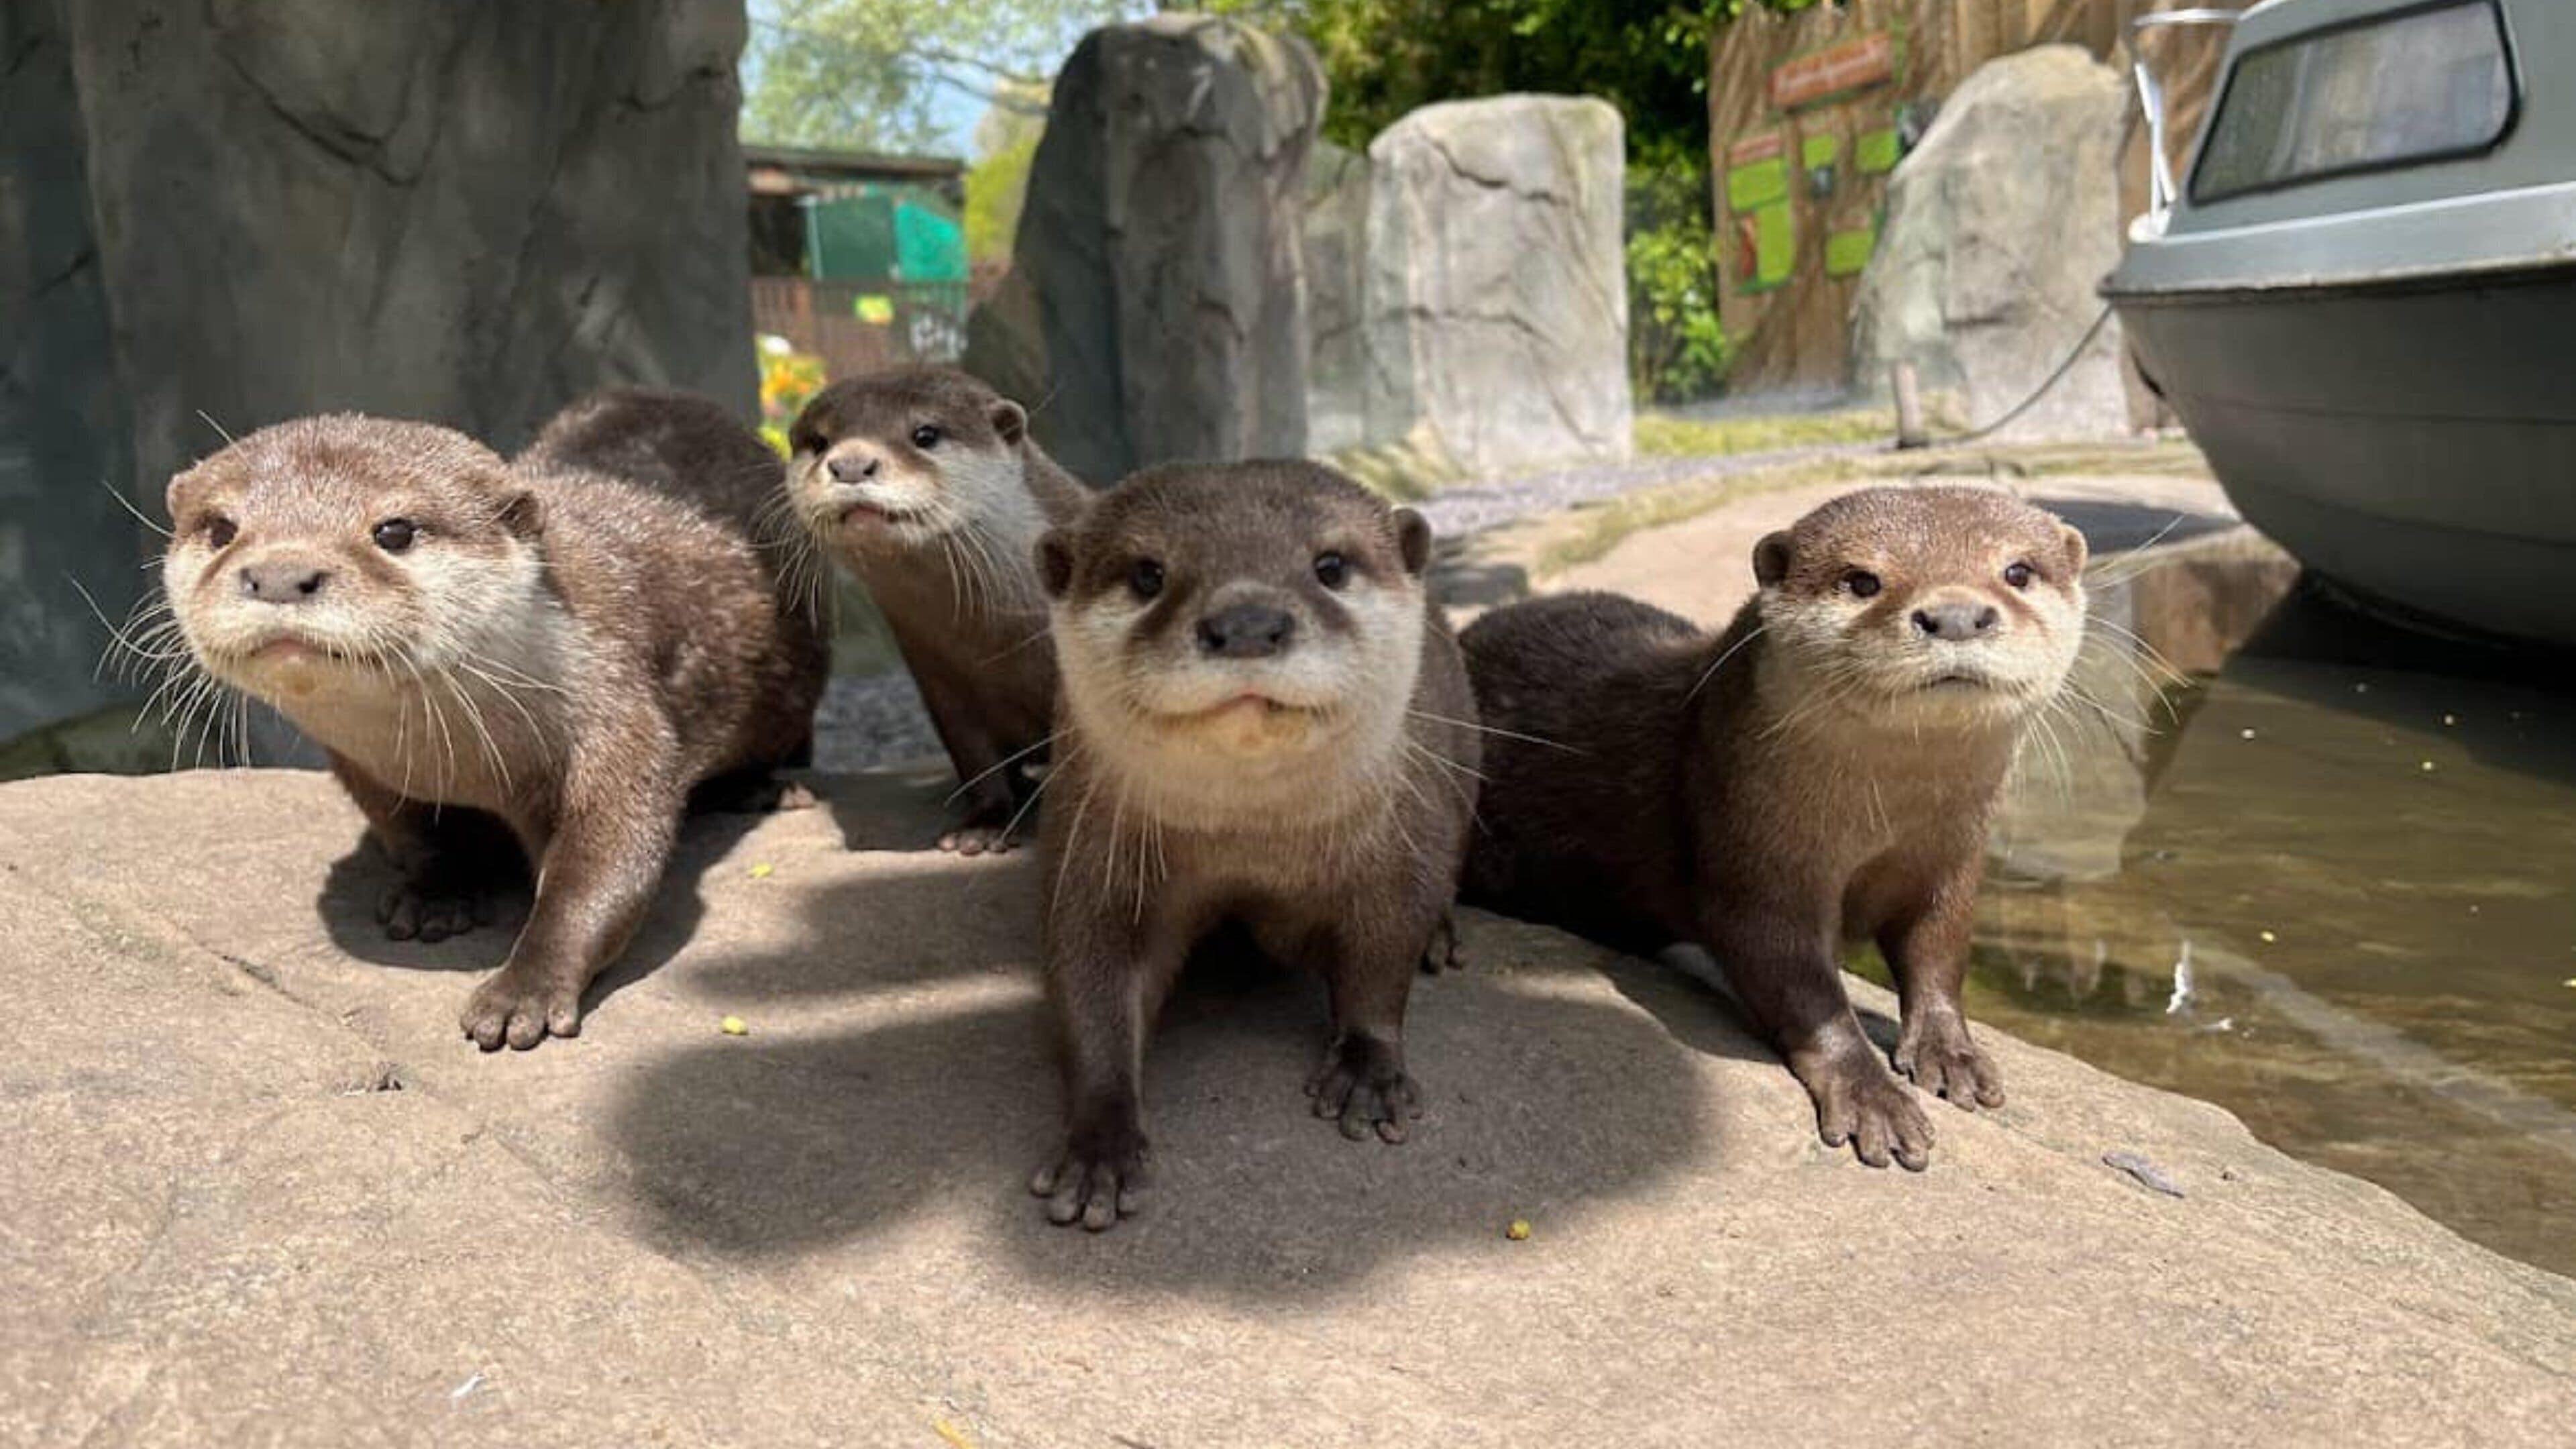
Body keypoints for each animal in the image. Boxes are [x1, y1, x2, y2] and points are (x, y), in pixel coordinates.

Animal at [160, 389, 829, 1050]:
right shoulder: (364, 769)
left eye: (394, 531)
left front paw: (523, 991)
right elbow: (413, 834)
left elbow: (604, 867)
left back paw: (759, 789)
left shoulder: (616, 711)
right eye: (221, 528)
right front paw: (438, 892)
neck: (465, 763)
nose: (278, 575)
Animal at [782, 368, 1089, 853]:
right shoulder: (943, 685)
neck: (1003, 648)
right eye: (819, 441)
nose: (851, 465)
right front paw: (983, 825)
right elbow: (977, 762)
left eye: (925, 434)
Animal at [1027, 460, 1480, 1230]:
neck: (1254, 844)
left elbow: (1383, 953)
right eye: (1148, 574)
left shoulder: (1401, 844)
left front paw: (1368, 1071)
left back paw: (1441, 938)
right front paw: (1099, 1146)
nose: (1245, 624)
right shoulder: (1091, 852)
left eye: (1330, 565)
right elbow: (1089, 974)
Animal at [1460, 485, 2087, 1170]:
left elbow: (1939, 950)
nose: (1955, 614)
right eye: (1862, 580)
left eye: (2018, 572)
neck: (1880, 826)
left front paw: (1952, 1052)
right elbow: (1794, 978)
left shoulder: (1951, 858)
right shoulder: (1754, 851)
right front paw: (1870, 1095)